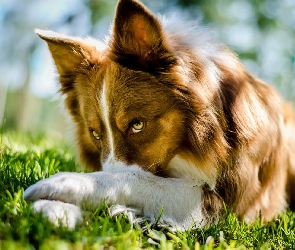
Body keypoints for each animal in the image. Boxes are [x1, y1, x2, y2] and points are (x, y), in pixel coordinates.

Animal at [24, 0, 295, 230]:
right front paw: (56, 209)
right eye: (95, 134)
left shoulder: (232, 203)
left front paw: (66, 184)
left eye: (137, 125)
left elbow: (137, 179)